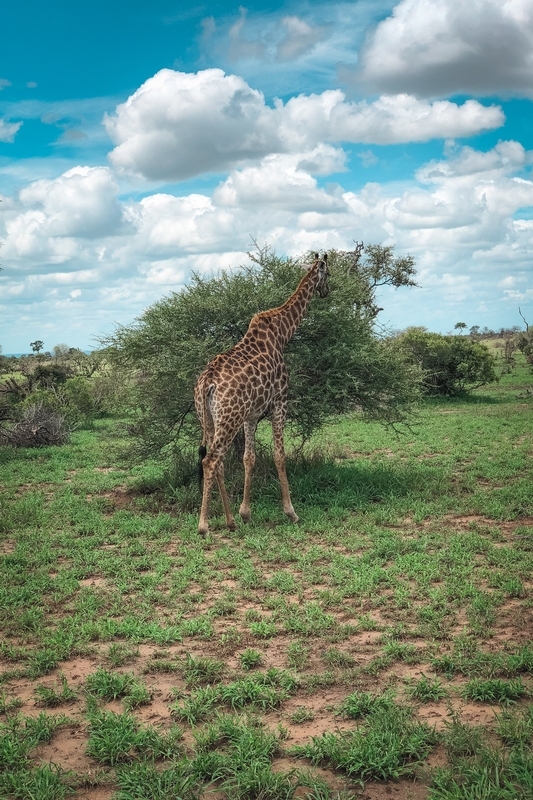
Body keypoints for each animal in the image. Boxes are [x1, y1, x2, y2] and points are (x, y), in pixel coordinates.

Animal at [194, 253, 329, 536]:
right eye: (330, 273)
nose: (326, 291)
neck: (282, 333)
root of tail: (206, 383)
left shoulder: (251, 415)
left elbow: (249, 458)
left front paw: (245, 514)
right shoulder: (280, 402)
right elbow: (279, 455)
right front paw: (291, 512)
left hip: (209, 419)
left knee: (218, 462)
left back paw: (230, 521)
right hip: (229, 418)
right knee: (211, 461)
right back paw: (203, 526)